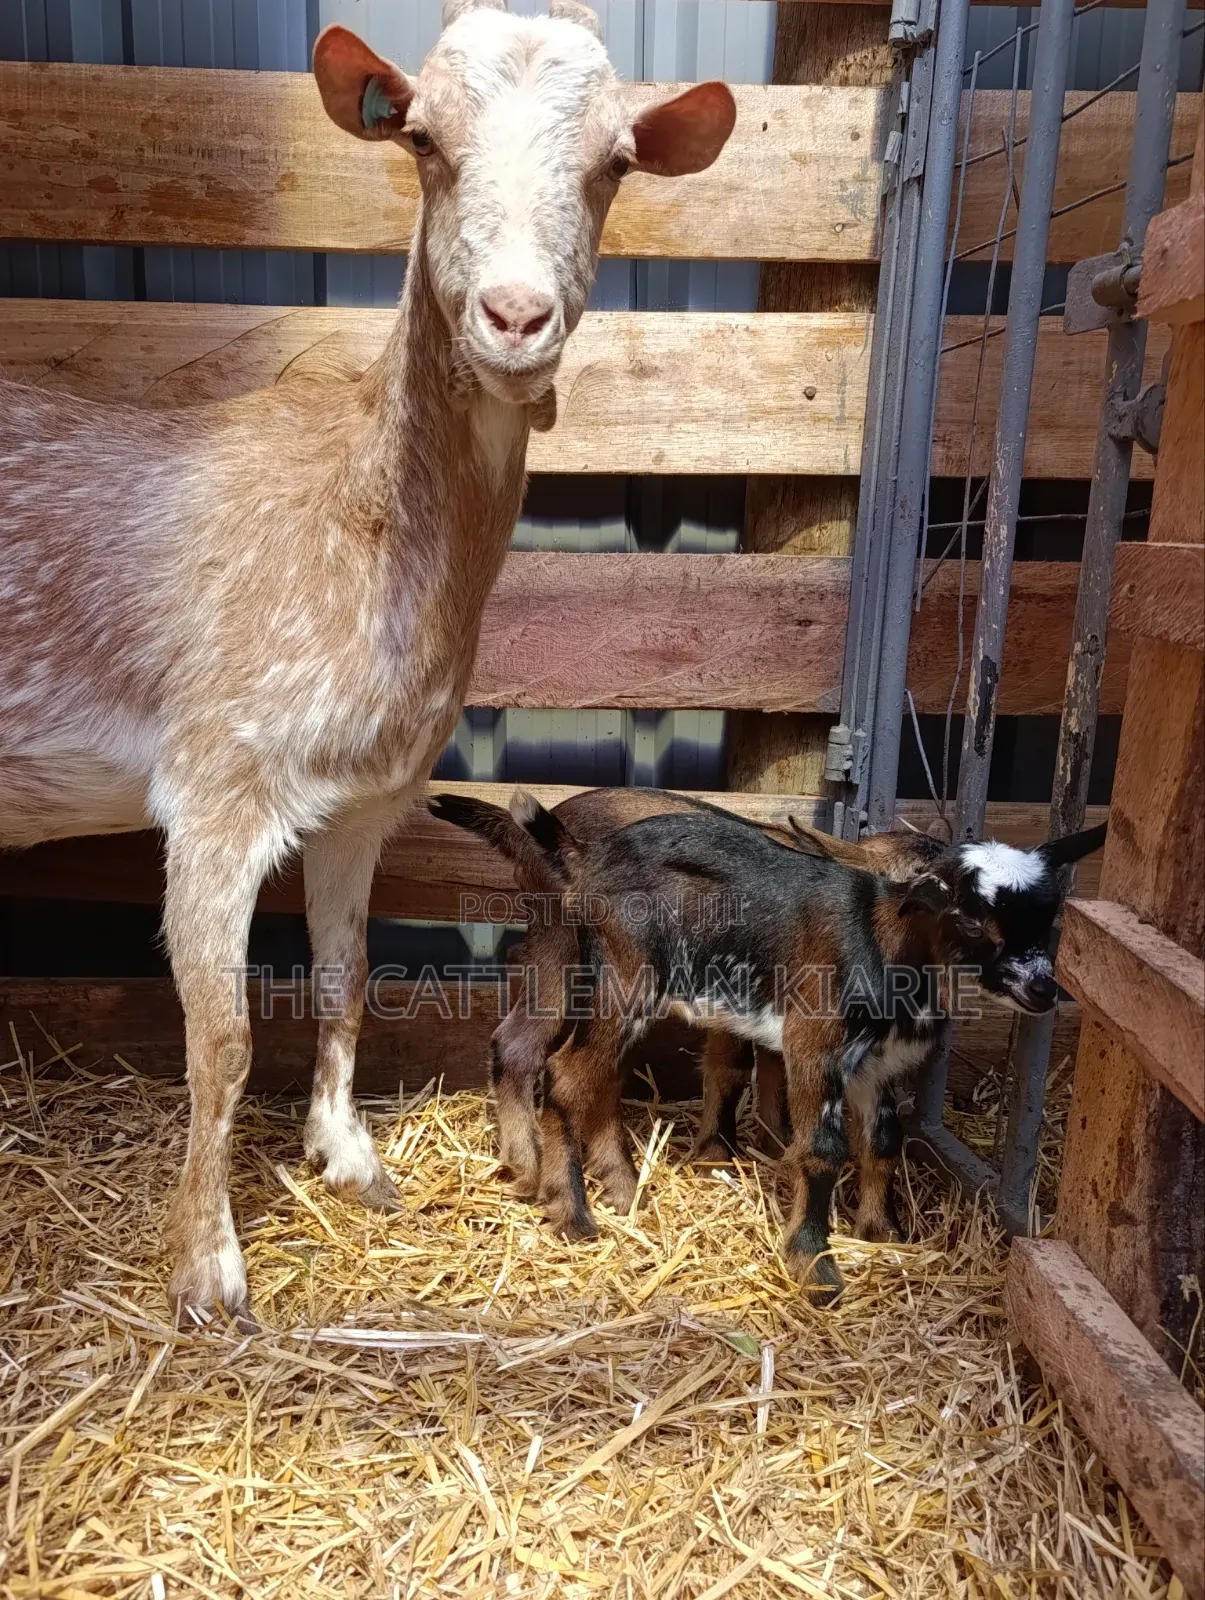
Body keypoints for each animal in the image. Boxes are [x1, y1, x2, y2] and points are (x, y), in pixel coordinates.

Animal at [0, 0, 735, 1326]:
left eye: (614, 161)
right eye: (424, 142)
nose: (514, 316)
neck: (359, 522)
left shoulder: (364, 800)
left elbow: (342, 976)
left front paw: (349, 1161)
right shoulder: (216, 781)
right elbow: (223, 1040)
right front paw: (210, 1276)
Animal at [434, 792, 1105, 1300]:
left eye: (1049, 916)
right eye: (967, 914)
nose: (1042, 987)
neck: (889, 947)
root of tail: (579, 849)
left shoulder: (874, 1063)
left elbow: (884, 1139)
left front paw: (882, 1230)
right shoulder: (815, 1043)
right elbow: (822, 1150)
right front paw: (815, 1264)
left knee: (576, 1069)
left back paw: (610, 1190)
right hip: (611, 974)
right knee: (562, 1072)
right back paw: (572, 1213)